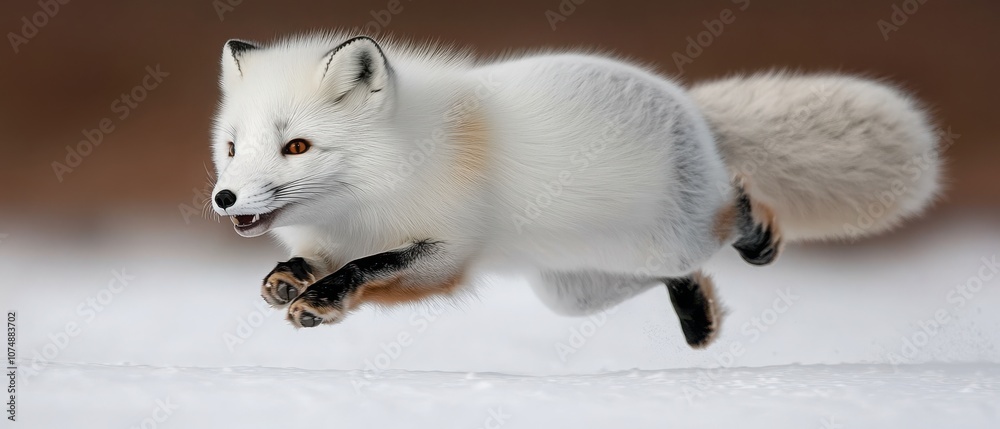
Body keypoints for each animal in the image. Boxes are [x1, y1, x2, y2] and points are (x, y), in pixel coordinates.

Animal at [210, 32, 941, 348]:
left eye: (296, 147)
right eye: (233, 148)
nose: (224, 199)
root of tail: (692, 109)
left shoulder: (449, 253)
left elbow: (372, 265)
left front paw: (322, 299)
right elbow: (320, 262)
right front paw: (287, 279)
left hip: (666, 235)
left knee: (728, 215)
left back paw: (755, 235)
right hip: (570, 289)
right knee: (675, 272)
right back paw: (698, 314)